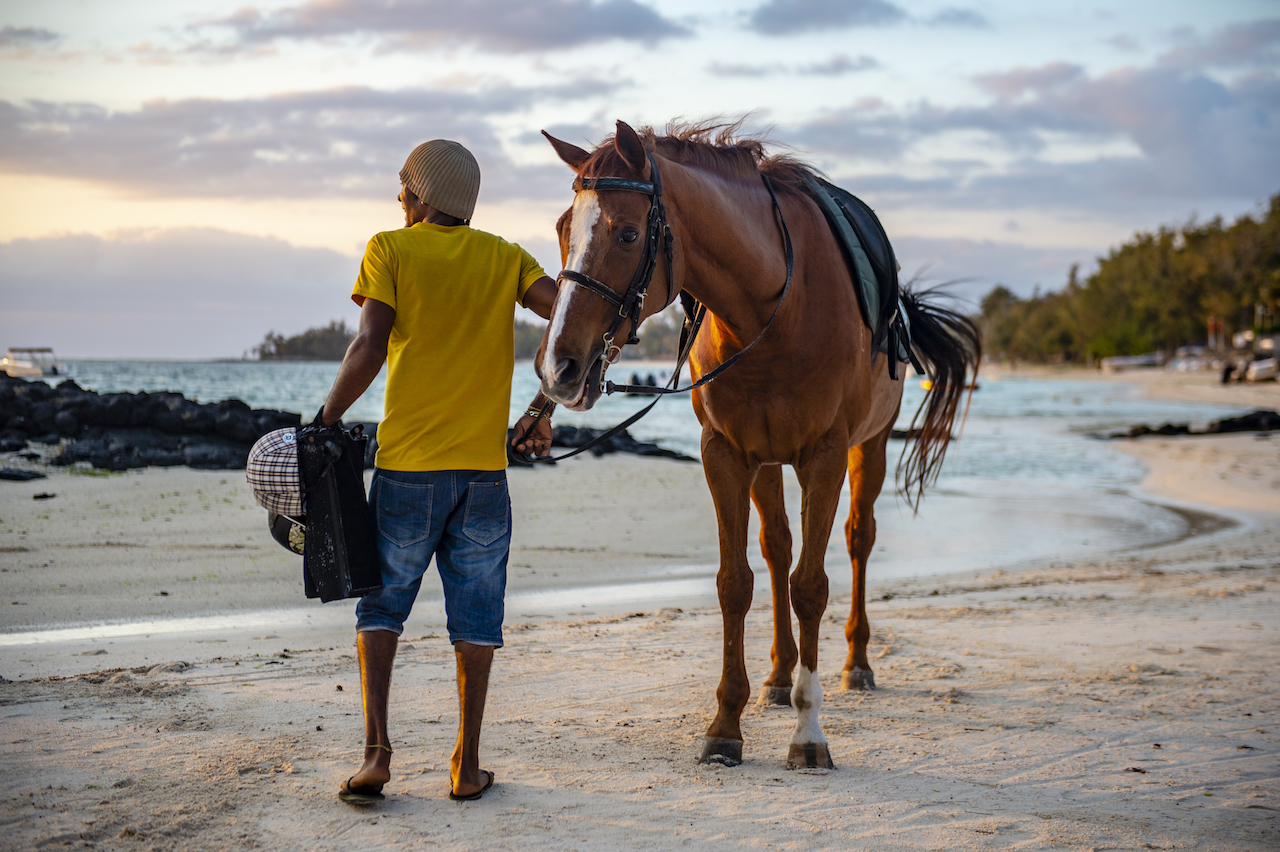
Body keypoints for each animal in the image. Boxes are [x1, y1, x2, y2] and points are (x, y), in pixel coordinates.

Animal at [535, 120, 972, 767]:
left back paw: (857, 663)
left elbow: (811, 587)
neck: (773, 306)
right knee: (777, 549)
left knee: (857, 540)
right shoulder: (725, 454)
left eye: (628, 233)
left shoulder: (824, 455)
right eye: (565, 229)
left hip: (867, 448)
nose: (557, 367)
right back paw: (778, 676)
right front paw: (726, 723)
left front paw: (809, 734)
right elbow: (735, 582)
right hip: (767, 462)